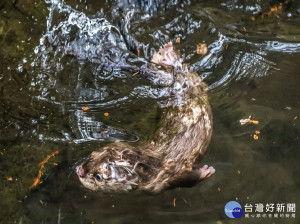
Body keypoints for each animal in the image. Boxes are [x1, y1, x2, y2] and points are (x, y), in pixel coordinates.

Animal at [76, 43, 214, 193]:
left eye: (98, 177)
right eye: (92, 154)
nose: (80, 171)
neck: (153, 164)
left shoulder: (165, 176)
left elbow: (186, 179)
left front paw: (205, 172)